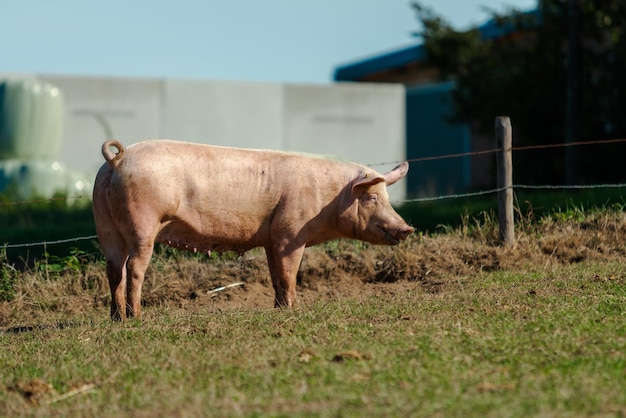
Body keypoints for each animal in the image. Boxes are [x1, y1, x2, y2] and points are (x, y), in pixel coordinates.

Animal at [91, 139, 414, 318]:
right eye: (372, 198)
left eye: (387, 197)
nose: (407, 228)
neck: (331, 197)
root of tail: (118, 158)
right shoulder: (289, 233)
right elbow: (289, 275)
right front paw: (294, 309)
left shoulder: (271, 240)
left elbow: (276, 277)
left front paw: (280, 308)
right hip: (143, 224)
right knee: (134, 268)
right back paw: (137, 318)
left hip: (105, 226)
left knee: (113, 269)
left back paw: (117, 319)